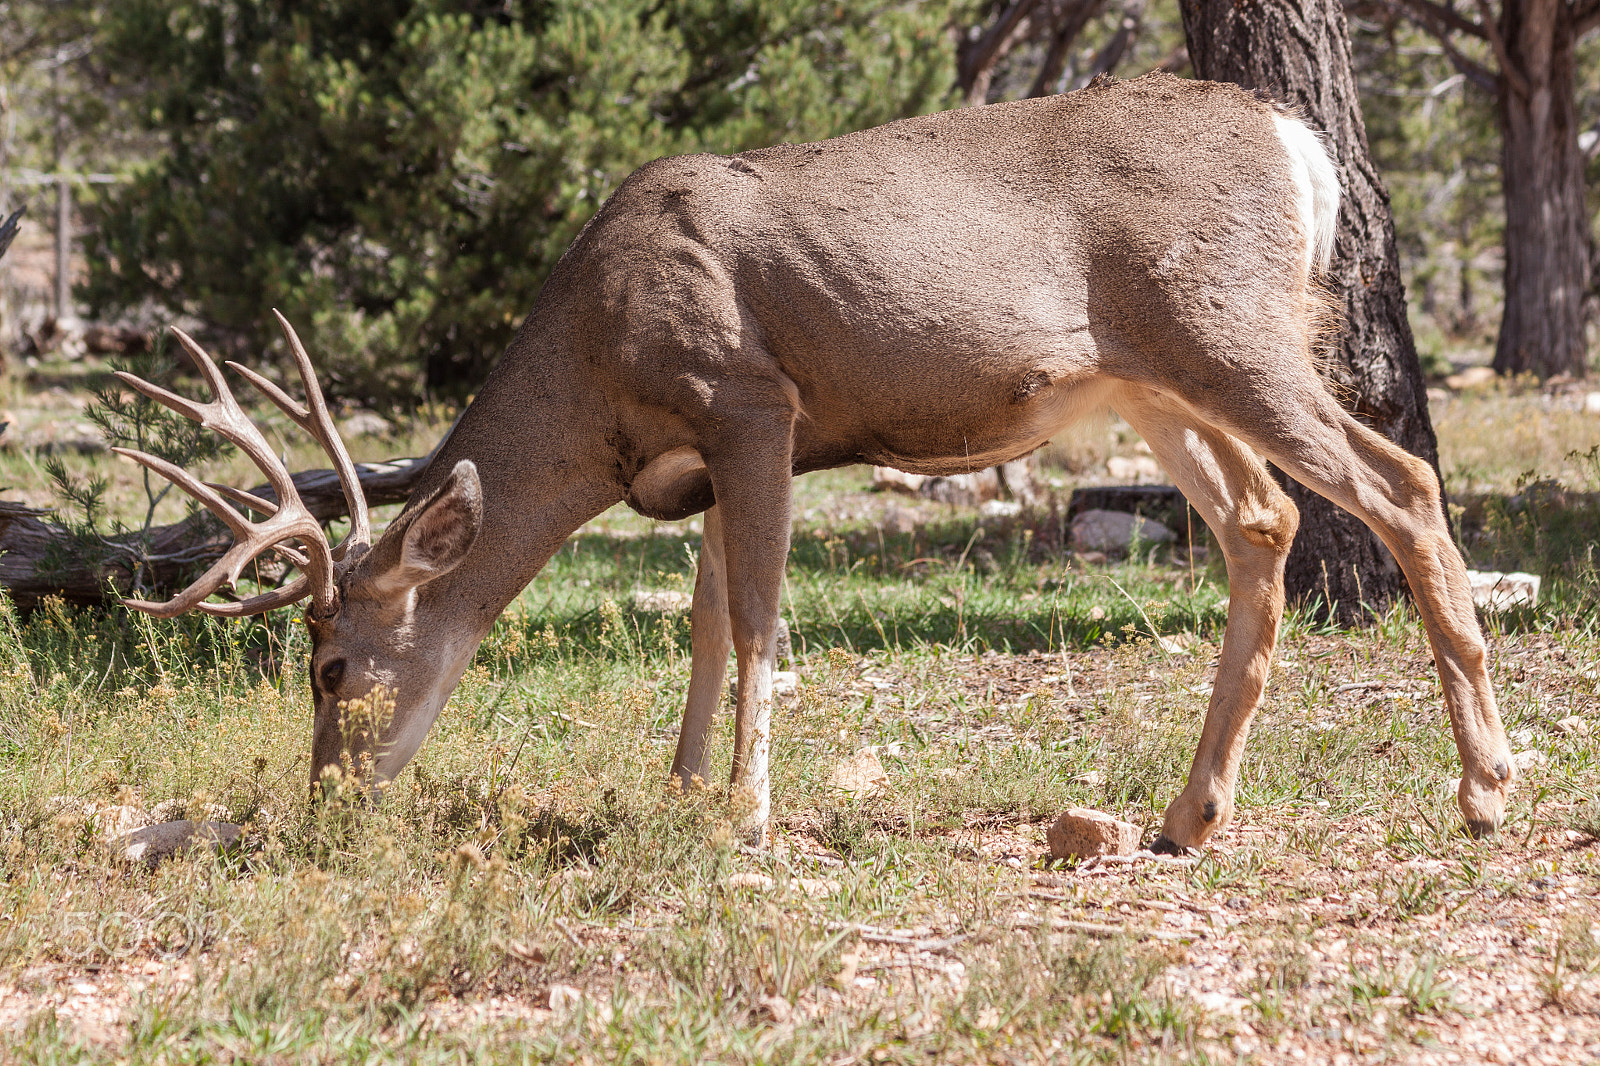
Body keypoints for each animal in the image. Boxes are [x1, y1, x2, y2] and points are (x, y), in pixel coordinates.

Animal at [115, 73, 1513, 854]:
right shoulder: (697, 459)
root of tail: (1299, 142)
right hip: (1152, 378)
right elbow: (701, 617)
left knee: (1400, 485)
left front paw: (744, 814)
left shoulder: (748, 399)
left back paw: (1487, 787)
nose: (329, 799)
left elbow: (759, 617)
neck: (596, 372)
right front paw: (682, 791)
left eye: (330, 665)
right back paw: (1186, 817)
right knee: (1263, 523)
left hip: (1226, 333)